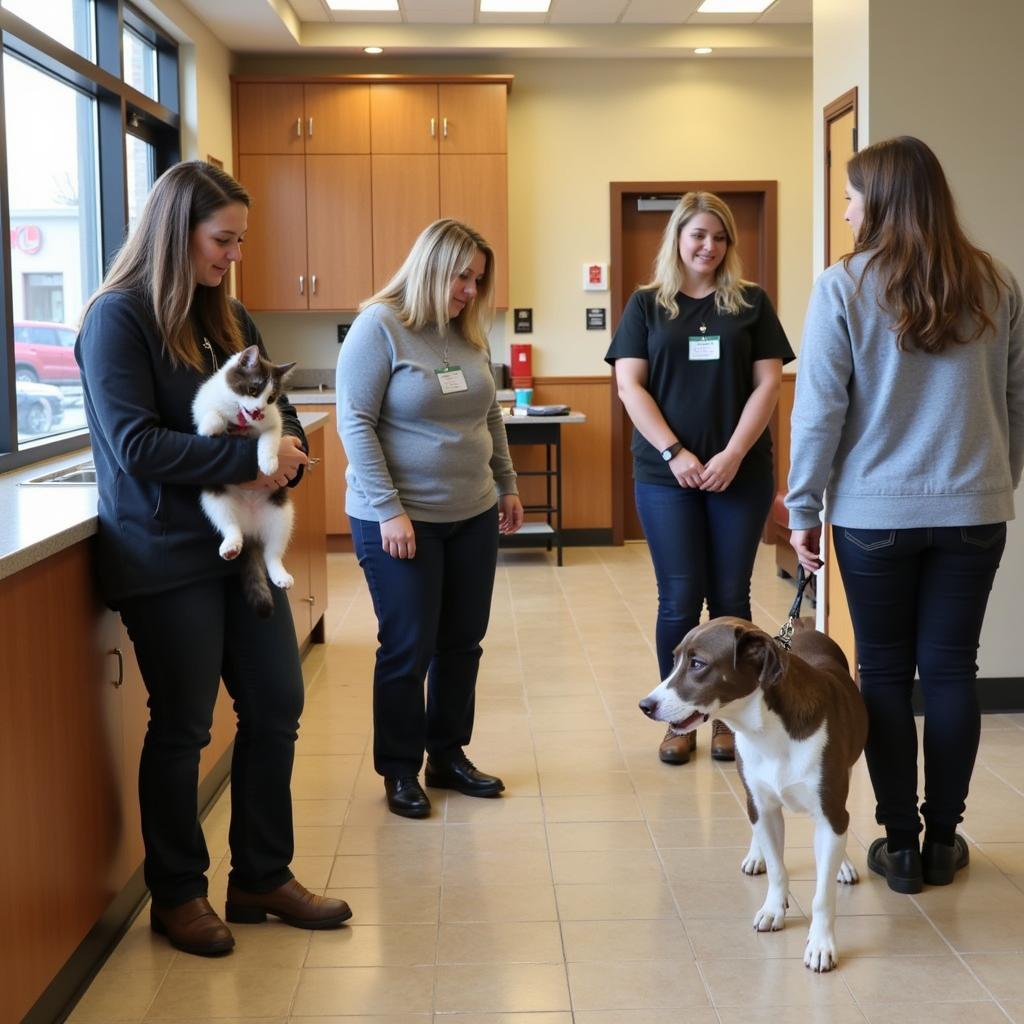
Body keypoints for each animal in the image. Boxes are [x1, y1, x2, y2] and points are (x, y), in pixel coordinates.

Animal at [192, 344, 299, 614]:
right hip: (214, 497)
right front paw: (211, 426)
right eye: (253, 389)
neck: (240, 417)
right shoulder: (203, 403)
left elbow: (270, 437)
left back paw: (279, 573)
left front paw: (269, 462)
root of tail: (250, 529)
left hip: (281, 513)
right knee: (228, 523)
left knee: (273, 552)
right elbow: (210, 414)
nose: (259, 411)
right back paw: (231, 544)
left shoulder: (273, 420)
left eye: (271, 398)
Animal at [638, 610, 864, 970]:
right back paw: (757, 854)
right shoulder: (762, 804)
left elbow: (822, 893)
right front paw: (774, 908)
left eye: (698, 664)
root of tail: (802, 623)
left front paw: (821, 944)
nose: (646, 705)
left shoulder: (829, 808)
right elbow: (777, 869)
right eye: (674, 660)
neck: (768, 731)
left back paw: (840, 863)